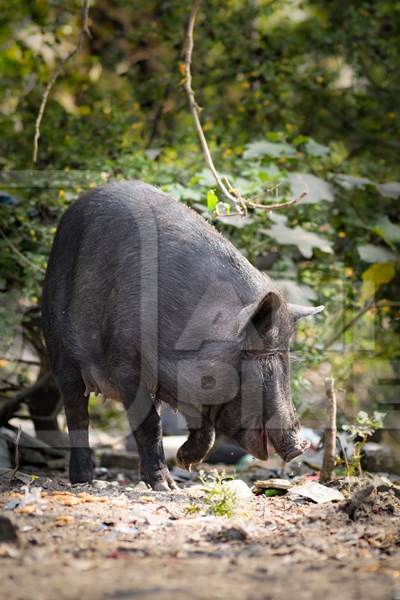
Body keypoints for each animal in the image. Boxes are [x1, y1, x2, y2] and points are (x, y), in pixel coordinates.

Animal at [42, 180, 324, 490]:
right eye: (257, 360)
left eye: (285, 360)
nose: (301, 446)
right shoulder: (125, 361)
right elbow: (150, 424)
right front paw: (167, 486)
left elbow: (204, 429)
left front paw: (184, 462)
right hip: (59, 348)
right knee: (76, 413)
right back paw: (84, 481)